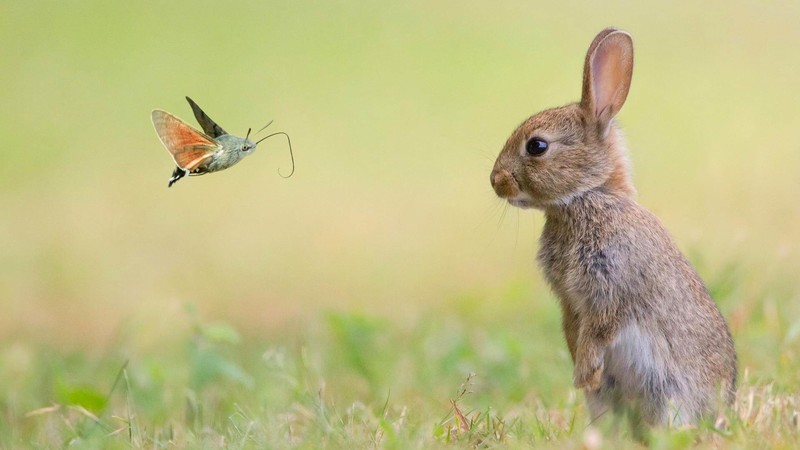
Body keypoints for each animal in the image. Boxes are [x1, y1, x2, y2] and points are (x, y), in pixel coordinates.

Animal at [490, 27, 736, 431]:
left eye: (537, 146)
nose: (496, 181)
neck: (587, 197)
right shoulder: (570, 300)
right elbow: (573, 326)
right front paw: (580, 370)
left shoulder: (612, 286)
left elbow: (601, 327)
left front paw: (583, 372)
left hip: (669, 394)